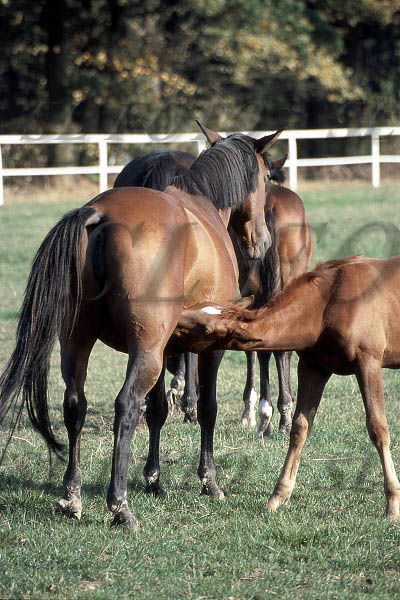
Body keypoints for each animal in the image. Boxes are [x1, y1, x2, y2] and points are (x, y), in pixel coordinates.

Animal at [0, 124, 282, 528]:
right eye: (265, 177)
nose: (262, 242)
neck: (202, 206)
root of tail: (98, 215)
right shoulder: (206, 347)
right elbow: (206, 408)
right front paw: (209, 482)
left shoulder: (167, 345)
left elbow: (159, 409)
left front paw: (154, 479)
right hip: (144, 352)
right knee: (127, 405)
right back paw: (119, 505)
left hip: (79, 342)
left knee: (75, 405)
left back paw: (72, 496)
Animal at [174, 255, 400, 524]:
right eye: (198, 305)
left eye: (205, 329)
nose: (173, 322)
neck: (326, 304)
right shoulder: (313, 367)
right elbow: (299, 428)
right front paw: (277, 496)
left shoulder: (368, 362)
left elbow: (378, 428)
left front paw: (392, 504)